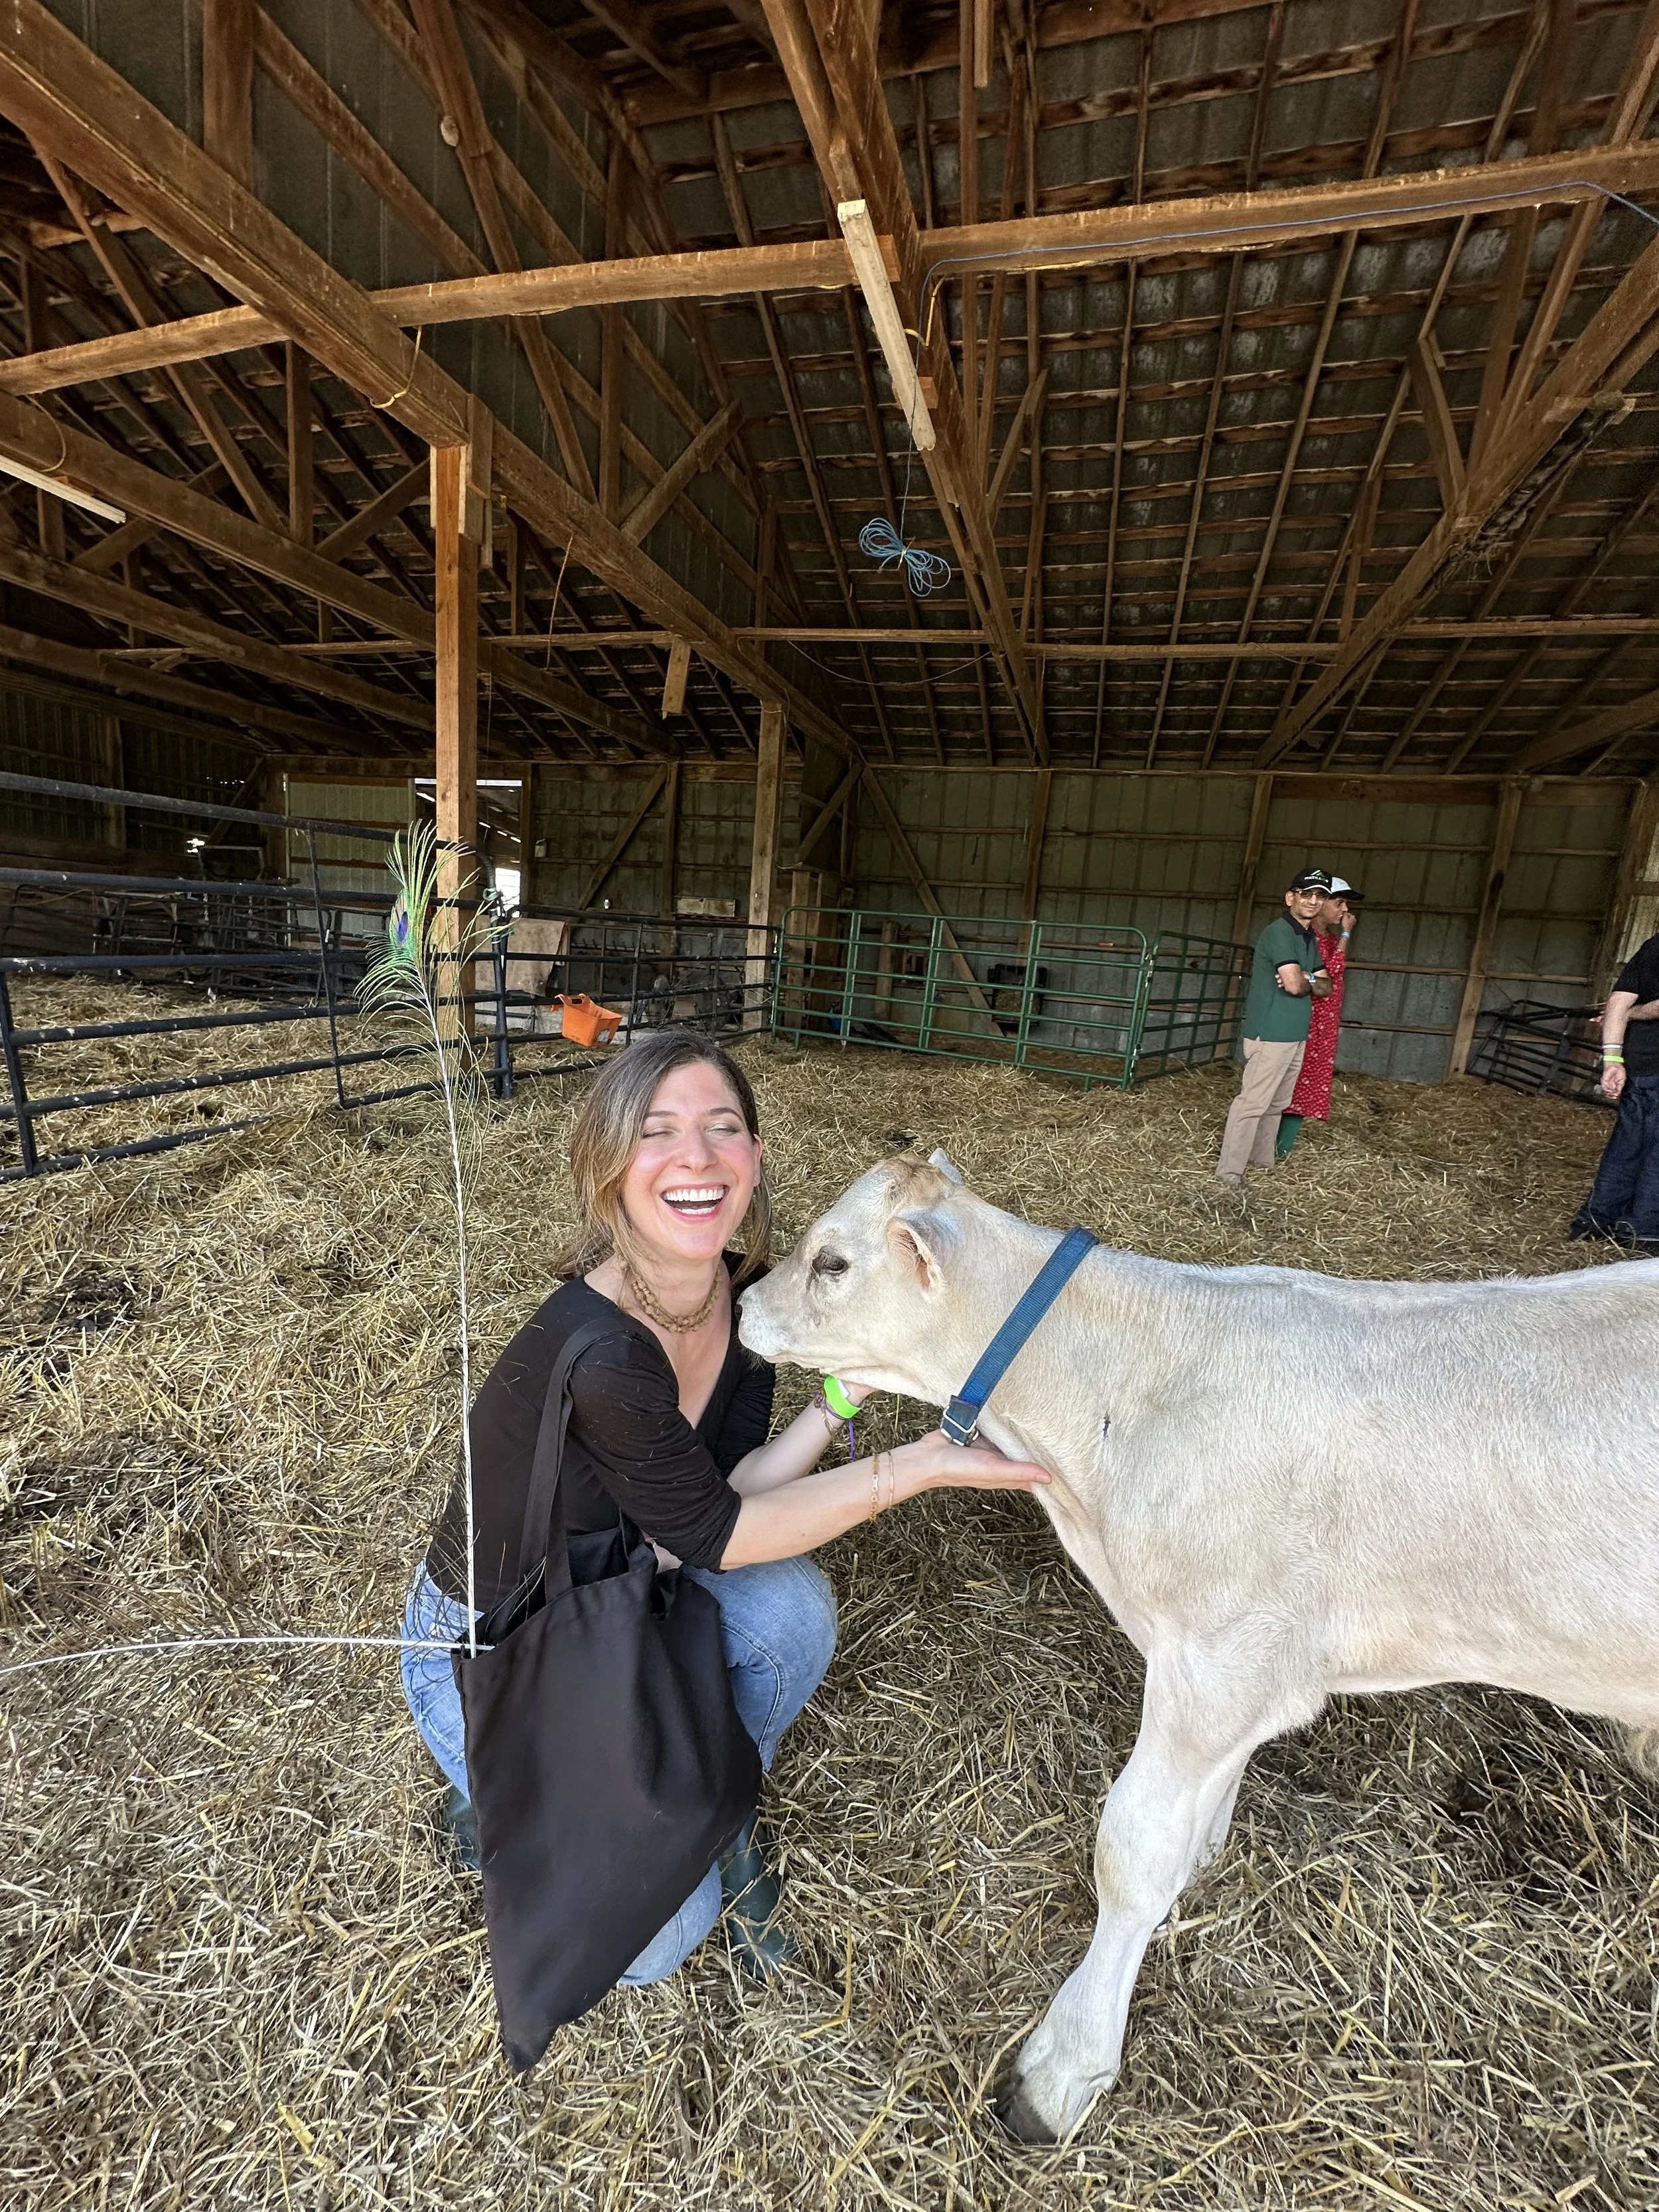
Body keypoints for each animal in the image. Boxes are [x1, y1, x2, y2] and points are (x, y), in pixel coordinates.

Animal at [736, 1150, 1659, 2143]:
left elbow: (1132, 1849)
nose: (743, 1304)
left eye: (831, 1262)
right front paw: (1205, 1849)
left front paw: (1060, 2071)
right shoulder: (1227, 1667)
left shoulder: (1221, 1654)